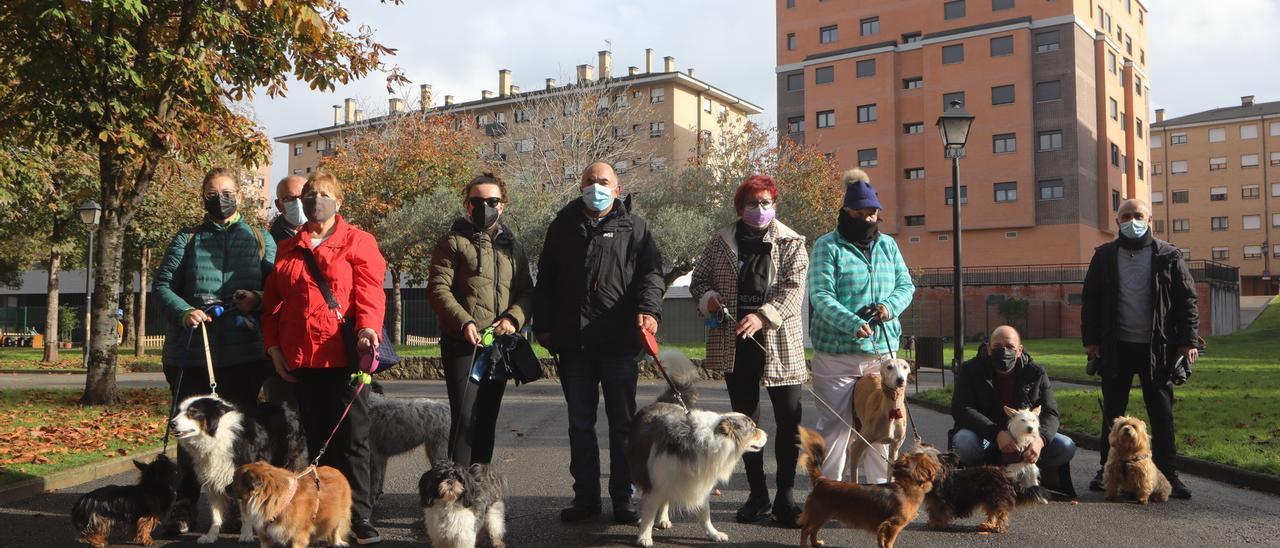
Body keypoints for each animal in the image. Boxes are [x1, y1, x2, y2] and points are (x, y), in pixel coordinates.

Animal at [168, 394, 305, 542]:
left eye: (193, 412)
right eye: (179, 411)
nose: (171, 424)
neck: (216, 435)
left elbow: (245, 513)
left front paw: (246, 534)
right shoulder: (212, 479)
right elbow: (215, 514)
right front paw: (211, 535)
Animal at [624, 350, 762, 548]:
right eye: (753, 429)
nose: (766, 434)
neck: (710, 439)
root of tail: (663, 401)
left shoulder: (699, 482)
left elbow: (705, 514)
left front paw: (714, 534)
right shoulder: (656, 481)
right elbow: (649, 513)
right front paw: (644, 537)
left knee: (666, 501)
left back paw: (664, 519)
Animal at [798, 427, 942, 548]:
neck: (905, 486)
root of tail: (822, 480)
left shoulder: (883, 526)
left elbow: (881, 540)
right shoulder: (894, 525)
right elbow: (889, 542)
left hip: (825, 516)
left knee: (814, 530)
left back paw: (816, 543)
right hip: (819, 514)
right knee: (805, 530)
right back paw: (805, 545)